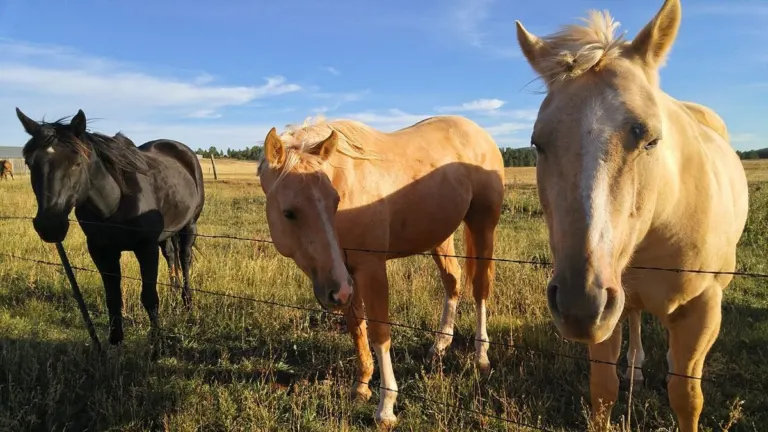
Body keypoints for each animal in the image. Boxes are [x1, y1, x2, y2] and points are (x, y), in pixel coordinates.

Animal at [15, 107, 206, 347]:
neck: (114, 202)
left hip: (189, 225)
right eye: (30, 163)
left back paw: (187, 303)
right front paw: (115, 343)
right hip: (167, 233)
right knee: (171, 257)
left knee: (184, 258)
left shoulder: (146, 249)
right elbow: (112, 298)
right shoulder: (101, 250)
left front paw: (156, 345)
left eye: (77, 163)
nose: (50, 225)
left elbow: (149, 297)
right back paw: (173, 295)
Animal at [257, 115, 505, 427]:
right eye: (289, 212)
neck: (346, 182)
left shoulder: (370, 270)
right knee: (453, 281)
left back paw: (481, 356)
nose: (336, 292)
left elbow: (379, 333)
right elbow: (356, 327)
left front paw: (386, 408)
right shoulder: (345, 276)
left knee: (480, 288)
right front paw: (361, 386)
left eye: (334, 202)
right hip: (439, 236)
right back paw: (439, 346)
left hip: (483, 226)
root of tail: (478, 132)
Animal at [514, 0, 749, 430]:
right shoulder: (607, 310)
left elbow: (686, 395)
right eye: (538, 143)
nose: (578, 304)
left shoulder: (704, 307)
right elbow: (603, 389)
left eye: (651, 139)